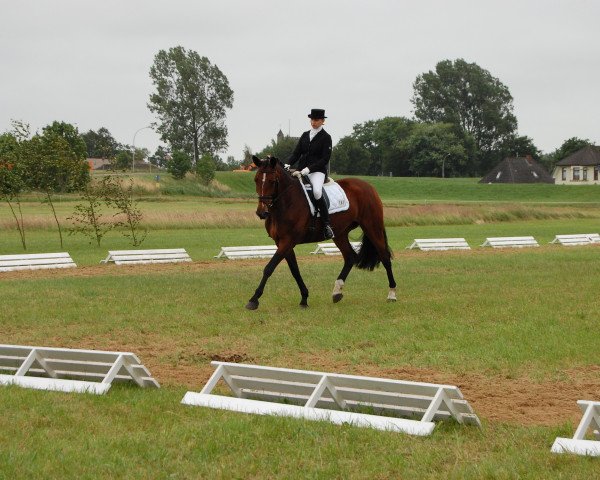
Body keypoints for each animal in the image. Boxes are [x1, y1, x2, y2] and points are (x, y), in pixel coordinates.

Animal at [246, 156, 396, 310]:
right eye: (256, 179)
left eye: (272, 181)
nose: (262, 212)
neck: (285, 203)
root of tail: (368, 186)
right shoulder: (281, 242)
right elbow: (295, 271)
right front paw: (304, 298)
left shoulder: (288, 241)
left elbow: (269, 268)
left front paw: (254, 300)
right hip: (340, 233)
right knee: (350, 257)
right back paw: (337, 292)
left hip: (372, 227)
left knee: (384, 256)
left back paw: (391, 294)